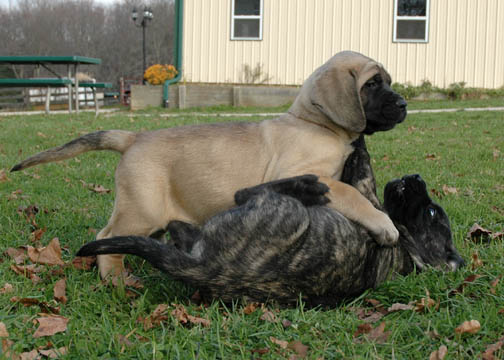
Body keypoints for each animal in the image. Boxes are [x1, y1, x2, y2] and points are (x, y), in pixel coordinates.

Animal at [76, 139, 464, 306]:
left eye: (432, 213)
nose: (416, 177)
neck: (407, 256)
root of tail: (204, 268)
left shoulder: (368, 196)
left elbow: (363, 173)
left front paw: (359, 144)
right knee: (175, 228)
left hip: (284, 210)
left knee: (247, 192)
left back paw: (305, 185)